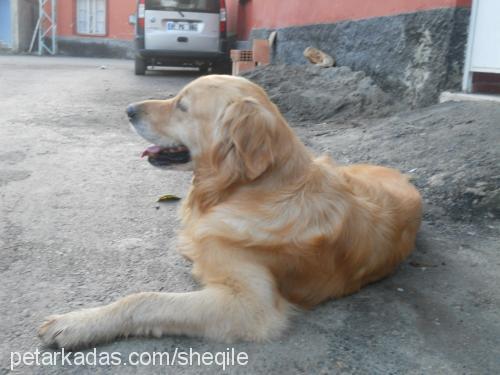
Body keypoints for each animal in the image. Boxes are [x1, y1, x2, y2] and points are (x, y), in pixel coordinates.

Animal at [39, 74, 422, 350]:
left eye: (182, 105)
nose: (129, 109)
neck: (249, 190)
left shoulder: (250, 306)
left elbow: (145, 299)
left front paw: (77, 324)